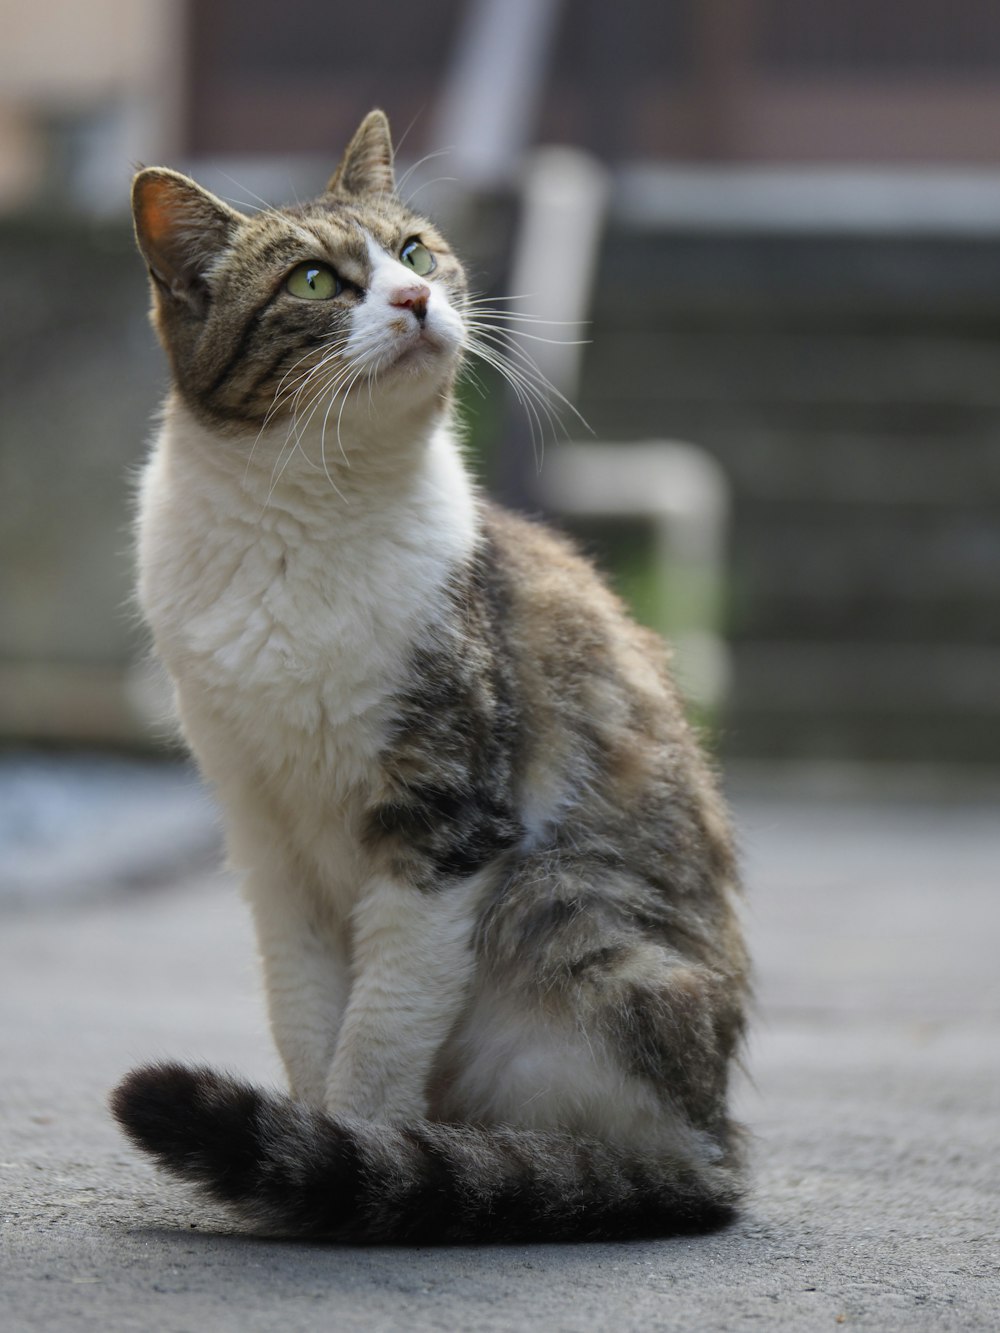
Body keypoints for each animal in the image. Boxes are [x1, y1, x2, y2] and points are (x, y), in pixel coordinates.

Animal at [111, 109, 752, 1242]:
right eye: (315, 282)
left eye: (414, 252)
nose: (415, 301)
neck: (308, 522)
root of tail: (713, 1149)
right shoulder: (266, 838)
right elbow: (306, 1013)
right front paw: (303, 1151)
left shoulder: (444, 820)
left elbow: (380, 1032)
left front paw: (349, 1157)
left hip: (564, 907)